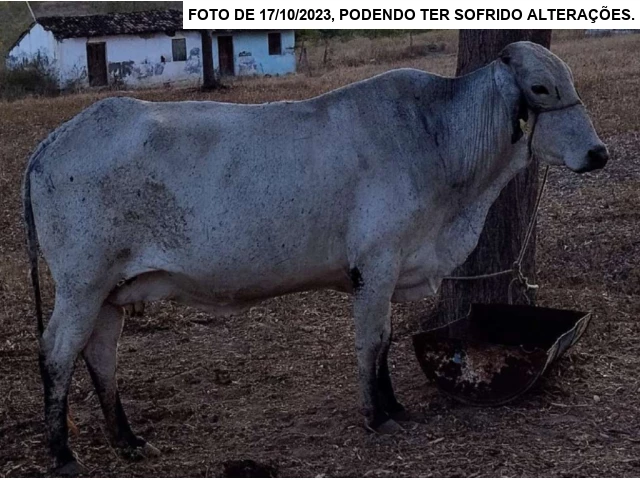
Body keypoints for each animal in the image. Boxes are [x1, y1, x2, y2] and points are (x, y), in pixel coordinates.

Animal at [23, 41, 608, 474]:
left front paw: (395, 406)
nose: (598, 153)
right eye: (541, 89)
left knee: (100, 355)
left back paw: (127, 440)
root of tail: (55, 139)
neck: (437, 139)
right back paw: (62, 453)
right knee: (56, 352)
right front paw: (377, 416)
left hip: (110, 292)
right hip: (81, 285)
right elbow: (371, 342)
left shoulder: (389, 271)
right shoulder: (376, 265)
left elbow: (385, 341)